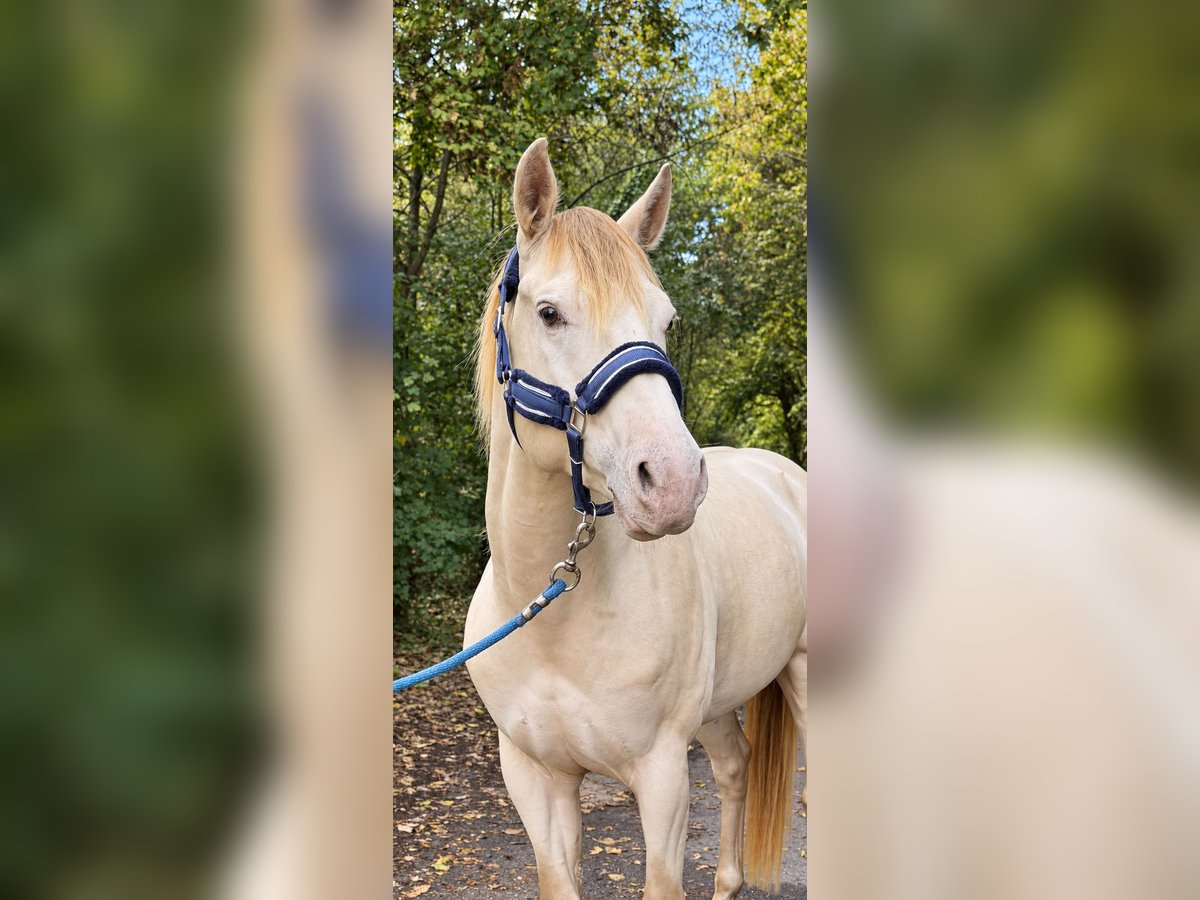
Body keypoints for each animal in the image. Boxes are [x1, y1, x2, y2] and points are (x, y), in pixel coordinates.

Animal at [464, 137, 807, 900]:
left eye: (666, 321)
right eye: (550, 312)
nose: (673, 483)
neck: (553, 617)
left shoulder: (661, 776)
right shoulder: (536, 780)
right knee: (735, 766)